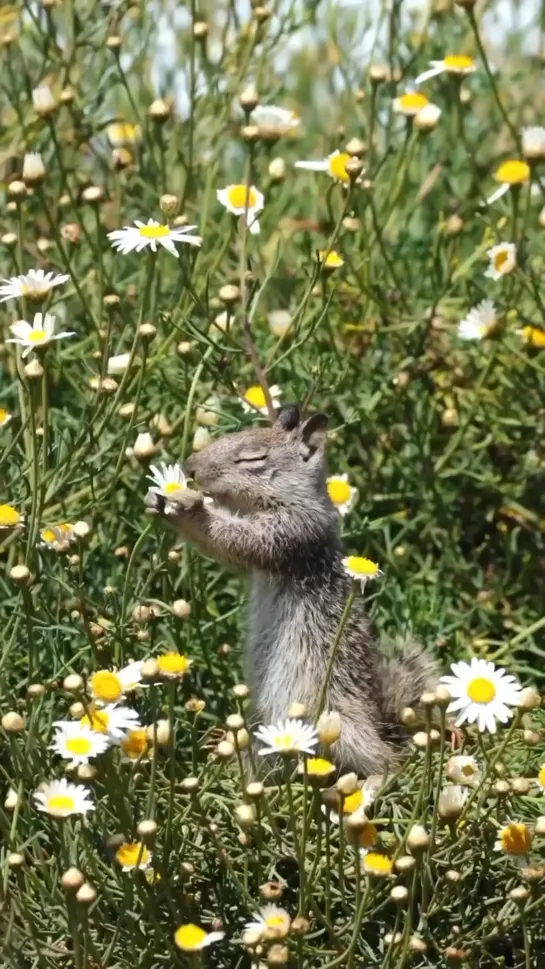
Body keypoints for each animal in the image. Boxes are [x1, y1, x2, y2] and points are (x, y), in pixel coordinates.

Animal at [148, 404, 438, 776]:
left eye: (253, 458)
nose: (190, 468)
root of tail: (381, 721)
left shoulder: (292, 532)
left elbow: (237, 540)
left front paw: (190, 506)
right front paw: (159, 499)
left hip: (337, 721)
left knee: (386, 762)